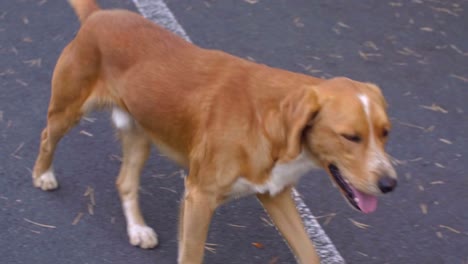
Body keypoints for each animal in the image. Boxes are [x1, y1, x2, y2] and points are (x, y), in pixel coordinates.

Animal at [33, 1, 396, 262]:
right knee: (47, 137)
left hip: (140, 135)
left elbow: (309, 253)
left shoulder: (276, 195)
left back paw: (138, 229)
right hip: (68, 110)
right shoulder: (199, 198)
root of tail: (99, 16)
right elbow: (192, 255)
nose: (390, 184)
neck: (270, 123)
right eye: (350, 136)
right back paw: (43, 175)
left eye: (385, 133)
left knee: (125, 182)